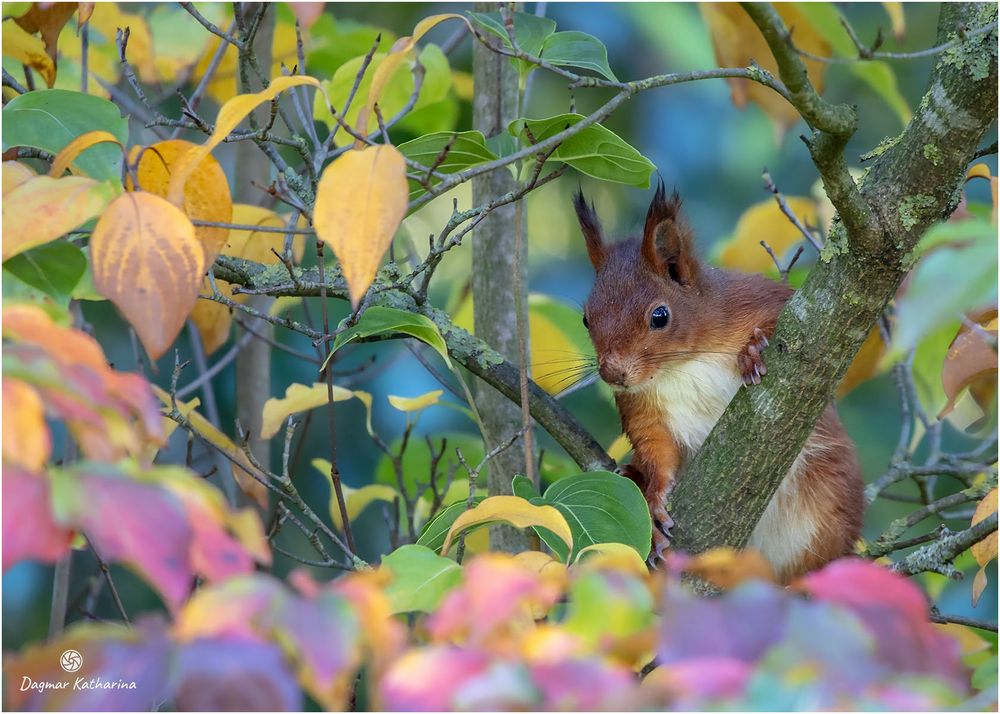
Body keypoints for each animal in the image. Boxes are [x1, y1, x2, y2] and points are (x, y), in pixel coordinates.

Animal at [576, 182, 864, 580]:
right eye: (586, 318)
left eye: (660, 316)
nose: (611, 374)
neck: (683, 363)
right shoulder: (641, 406)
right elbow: (656, 448)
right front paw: (655, 504)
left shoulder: (759, 300)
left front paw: (755, 349)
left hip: (830, 501)